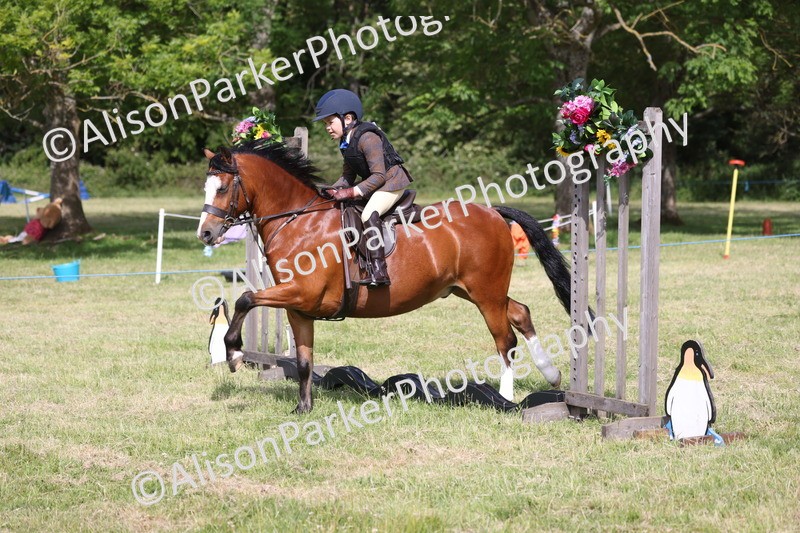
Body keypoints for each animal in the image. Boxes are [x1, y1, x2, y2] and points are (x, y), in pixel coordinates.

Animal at [197, 140, 572, 414]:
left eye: (222, 188)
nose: (205, 233)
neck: (298, 222)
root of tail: (494, 212)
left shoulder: (303, 292)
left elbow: (245, 299)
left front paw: (234, 354)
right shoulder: (298, 307)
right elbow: (303, 361)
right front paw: (303, 409)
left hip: (485, 293)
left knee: (505, 340)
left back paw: (506, 400)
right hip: (469, 289)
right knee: (521, 312)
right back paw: (552, 376)